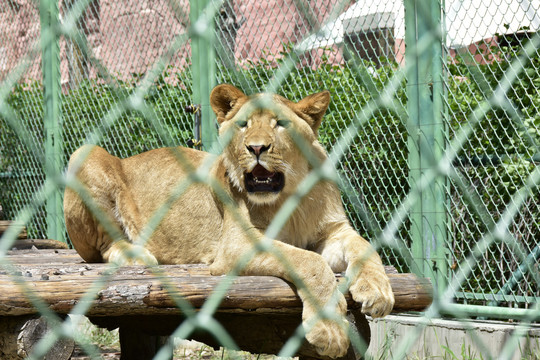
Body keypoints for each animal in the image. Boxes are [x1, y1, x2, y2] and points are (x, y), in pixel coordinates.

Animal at [63, 83, 394, 358]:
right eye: (243, 124)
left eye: (279, 124)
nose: (256, 148)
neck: (290, 197)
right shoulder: (239, 243)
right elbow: (309, 261)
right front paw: (330, 331)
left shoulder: (333, 231)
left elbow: (364, 246)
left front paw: (378, 291)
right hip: (84, 154)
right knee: (102, 247)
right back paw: (135, 254)